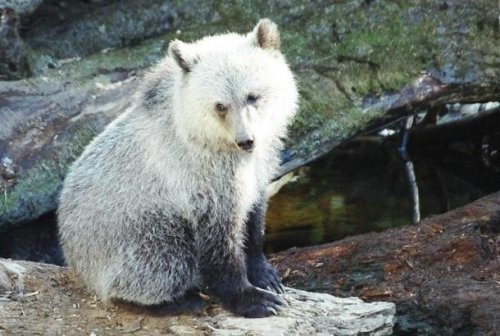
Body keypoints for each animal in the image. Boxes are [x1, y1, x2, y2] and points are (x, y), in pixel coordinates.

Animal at [58, 18, 300, 318]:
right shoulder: (200, 180)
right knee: (163, 257)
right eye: (220, 105)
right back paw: (172, 300)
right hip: (130, 229)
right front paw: (250, 298)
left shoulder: (259, 166)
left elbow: (253, 216)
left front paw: (264, 273)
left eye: (253, 96)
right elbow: (217, 244)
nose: (247, 140)